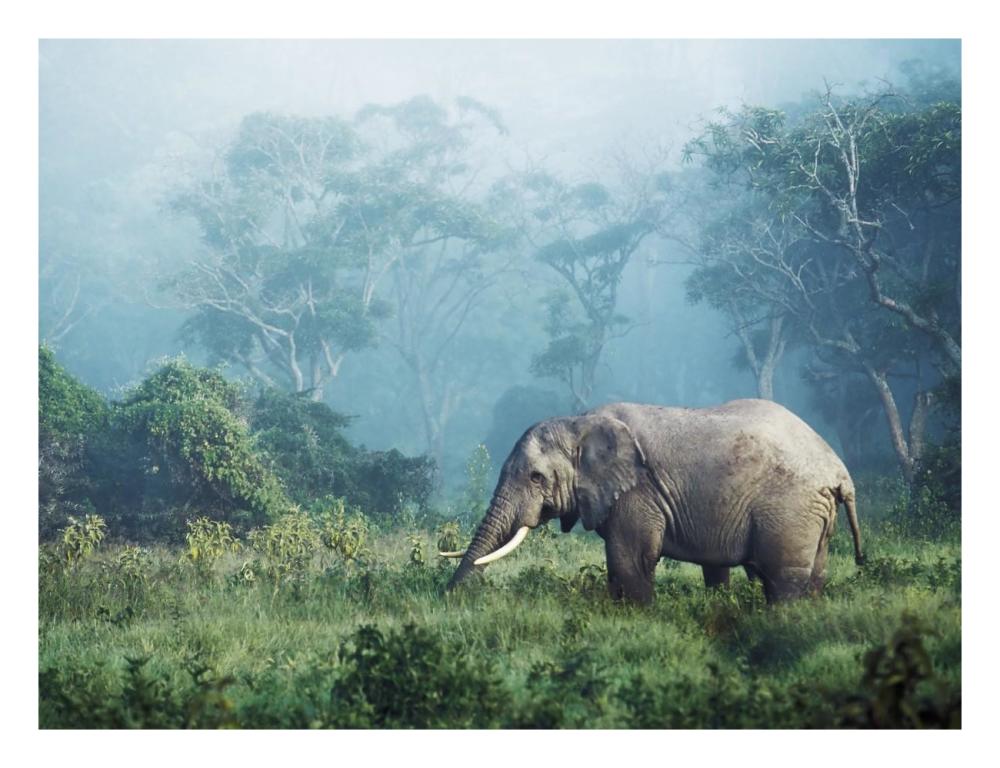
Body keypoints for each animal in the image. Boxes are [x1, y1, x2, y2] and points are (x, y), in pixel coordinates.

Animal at [441, 399, 864, 604]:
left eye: (536, 478)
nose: (448, 596)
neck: (579, 422)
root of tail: (840, 471)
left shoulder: (638, 493)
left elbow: (630, 559)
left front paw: (636, 618)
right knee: (813, 577)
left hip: (791, 509)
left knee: (782, 580)